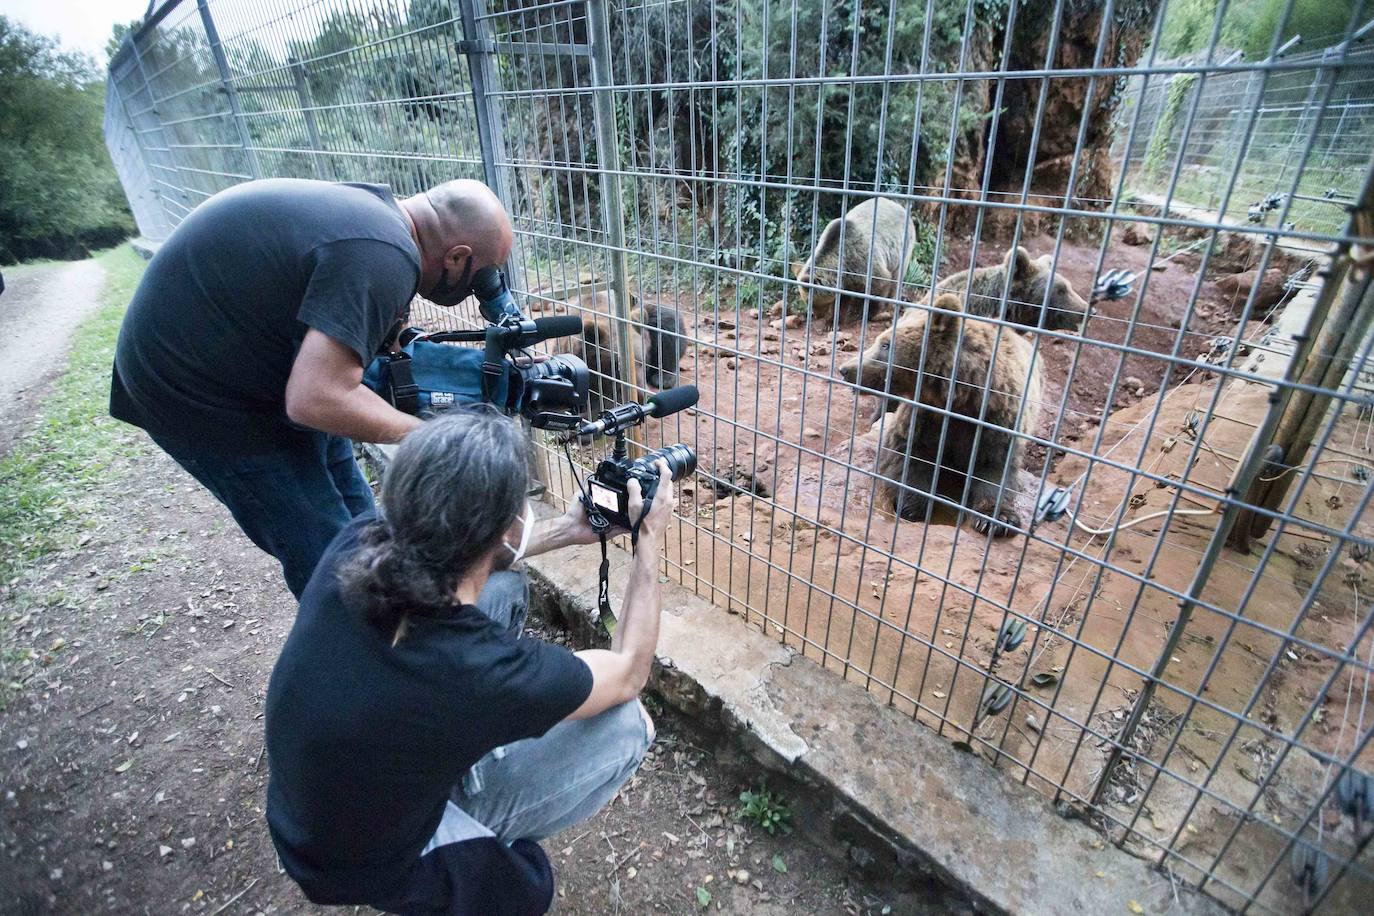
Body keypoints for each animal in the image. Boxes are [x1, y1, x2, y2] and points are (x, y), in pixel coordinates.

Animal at [791, 197, 917, 329]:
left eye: (812, 302)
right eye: (806, 301)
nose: (815, 315)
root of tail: (899, 206)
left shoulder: (863, 261)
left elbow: (880, 284)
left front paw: (870, 313)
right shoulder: (846, 278)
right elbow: (842, 299)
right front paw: (832, 322)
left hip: (904, 246)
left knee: (896, 277)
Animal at [829, 293, 1044, 538]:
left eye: (885, 344)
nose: (846, 369)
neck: (961, 398)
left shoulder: (998, 420)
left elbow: (996, 468)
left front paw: (996, 519)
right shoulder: (926, 416)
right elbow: (908, 452)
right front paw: (912, 506)